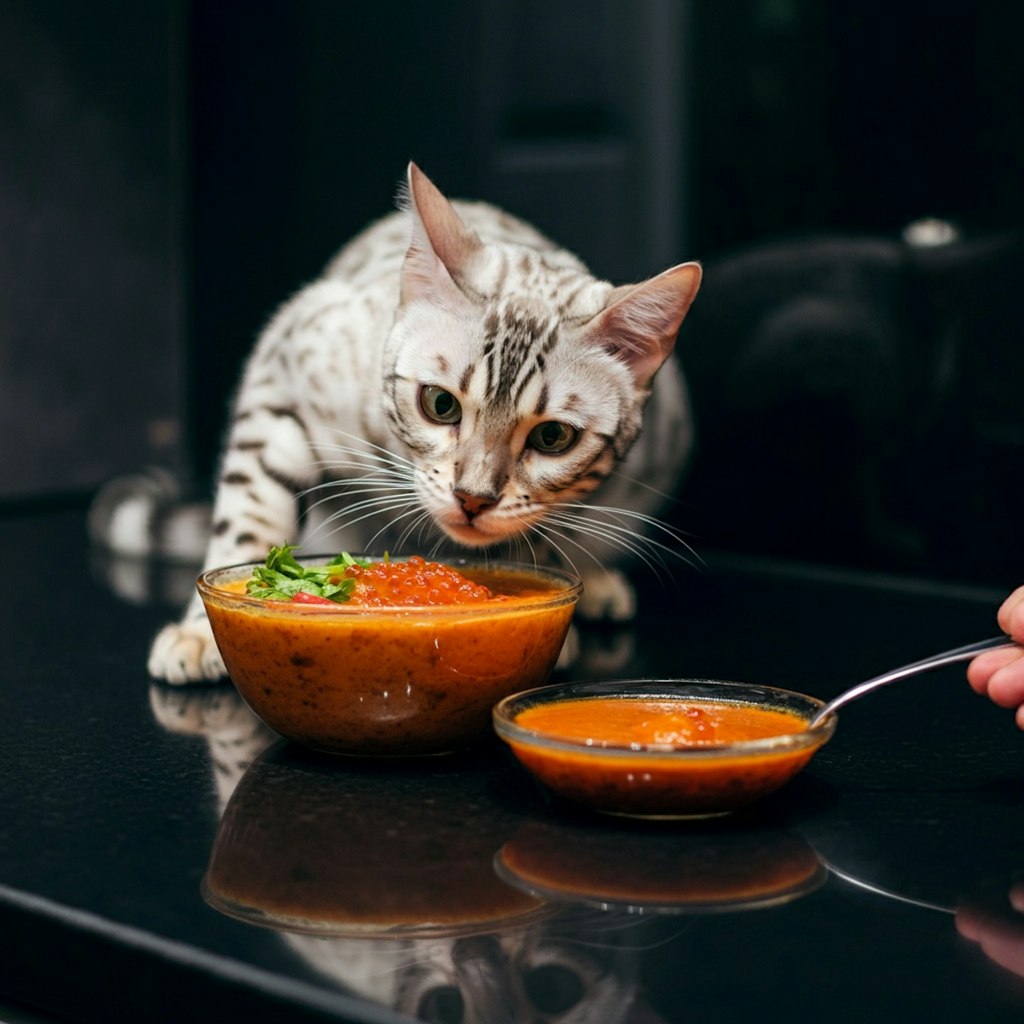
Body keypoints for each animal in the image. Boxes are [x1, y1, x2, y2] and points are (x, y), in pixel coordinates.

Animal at [136, 165, 700, 679]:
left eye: (553, 436)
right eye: (440, 404)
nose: (473, 499)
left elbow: (534, 540)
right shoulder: (283, 368)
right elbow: (249, 514)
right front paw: (199, 631)